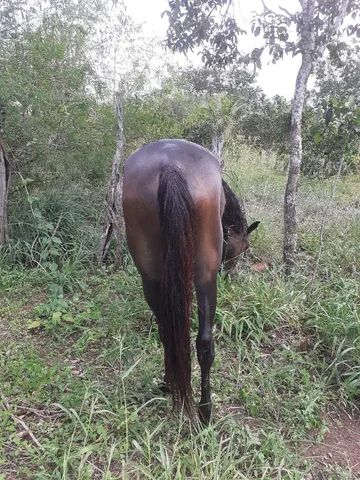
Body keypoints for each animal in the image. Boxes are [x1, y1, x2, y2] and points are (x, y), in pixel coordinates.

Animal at [123, 139, 258, 424]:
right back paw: (205, 410)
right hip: (206, 277)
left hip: (150, 276)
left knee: (168, 332)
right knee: (205, 343)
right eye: (244, 247)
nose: (231, 275)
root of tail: (170, 165)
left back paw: (170, 385)